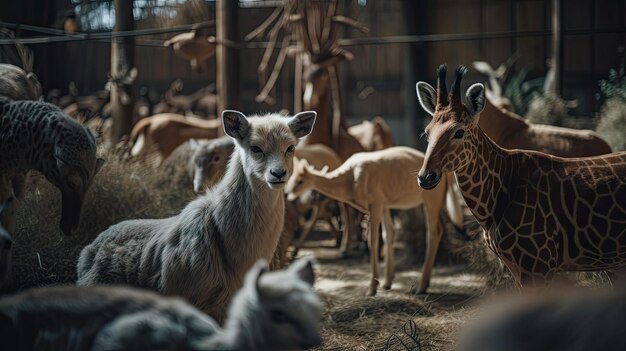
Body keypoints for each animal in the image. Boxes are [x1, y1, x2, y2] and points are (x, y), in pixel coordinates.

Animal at [286, 146, 460, 296]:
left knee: (434, 232)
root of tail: (448, 173)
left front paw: (372, 288)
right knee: (438, 228)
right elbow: (388, 234)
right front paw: (387, 282)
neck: (351, 179)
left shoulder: (375, 203)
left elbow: (373, 241)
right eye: (292, 177)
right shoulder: (384, 204)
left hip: (431, 199)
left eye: (300, 180)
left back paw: (421, 287)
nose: (287, 193)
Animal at [414, 64, 624, 288]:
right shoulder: (520, 268)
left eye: (459, 132)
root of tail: (607, 143)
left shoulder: (539, 265)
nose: (425, 177)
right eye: (427, 133)